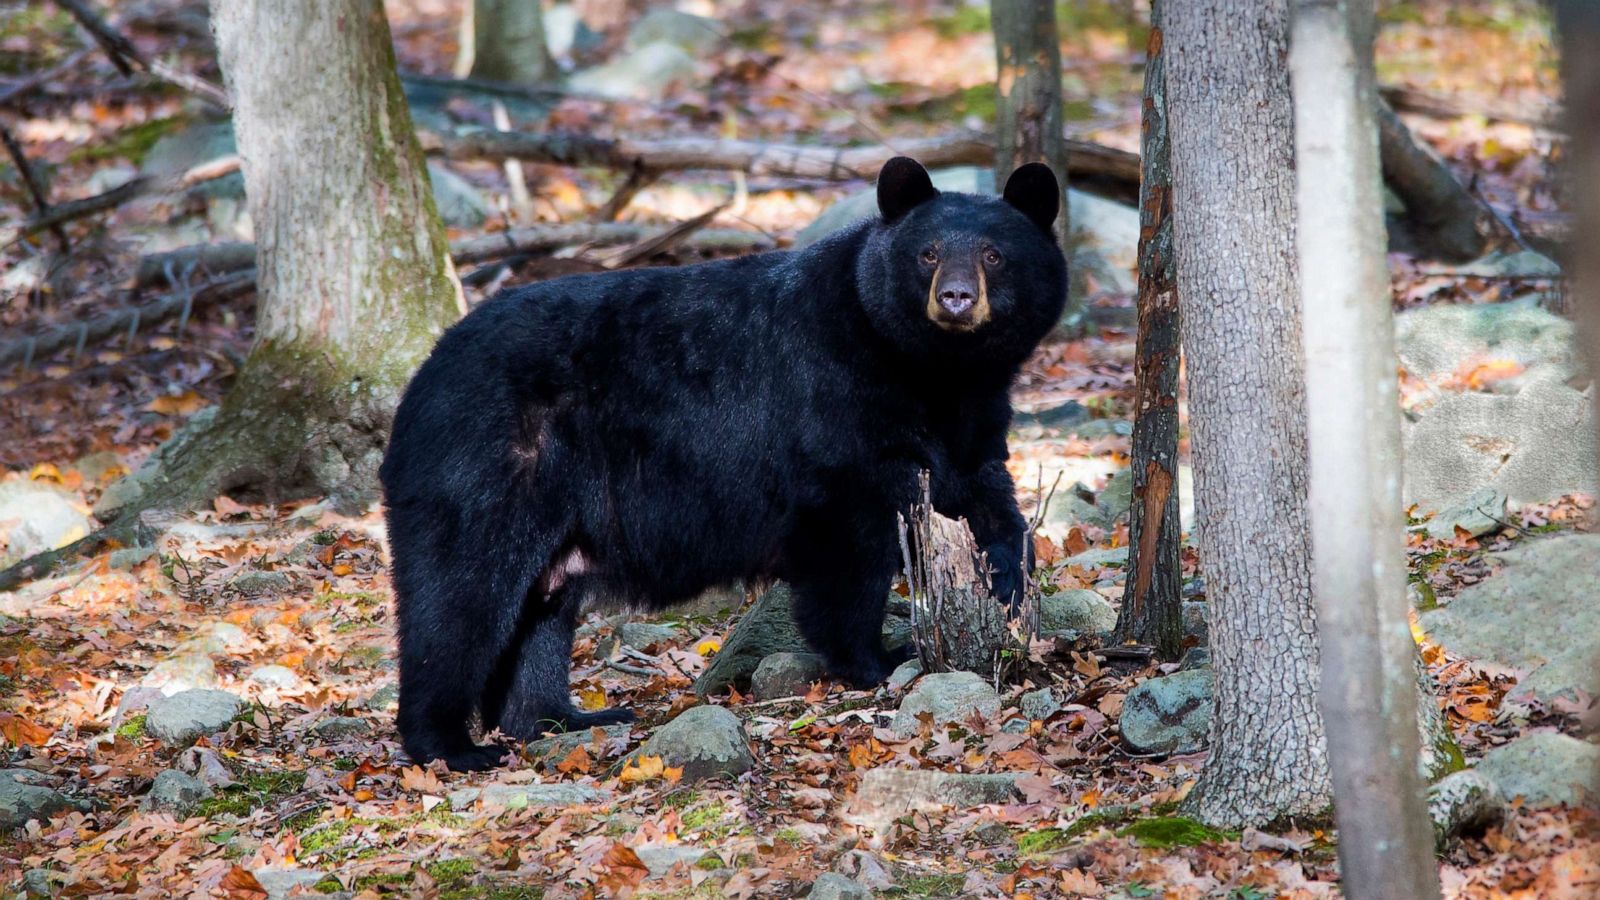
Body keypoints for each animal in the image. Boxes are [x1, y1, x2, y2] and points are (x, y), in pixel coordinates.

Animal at [380, 157, 1068, 768]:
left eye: (994, 254)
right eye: (927, 253)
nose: (955, 298)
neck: (934, 372)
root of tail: (422, 376)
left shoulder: (974, 421)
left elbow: (989, 503)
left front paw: (1010, 596)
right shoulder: (834, 402)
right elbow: (848, 546)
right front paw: (877, 656)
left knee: (541, 610)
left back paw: (564, 717)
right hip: (490, 460)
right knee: (460, 594)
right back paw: (451, 745)